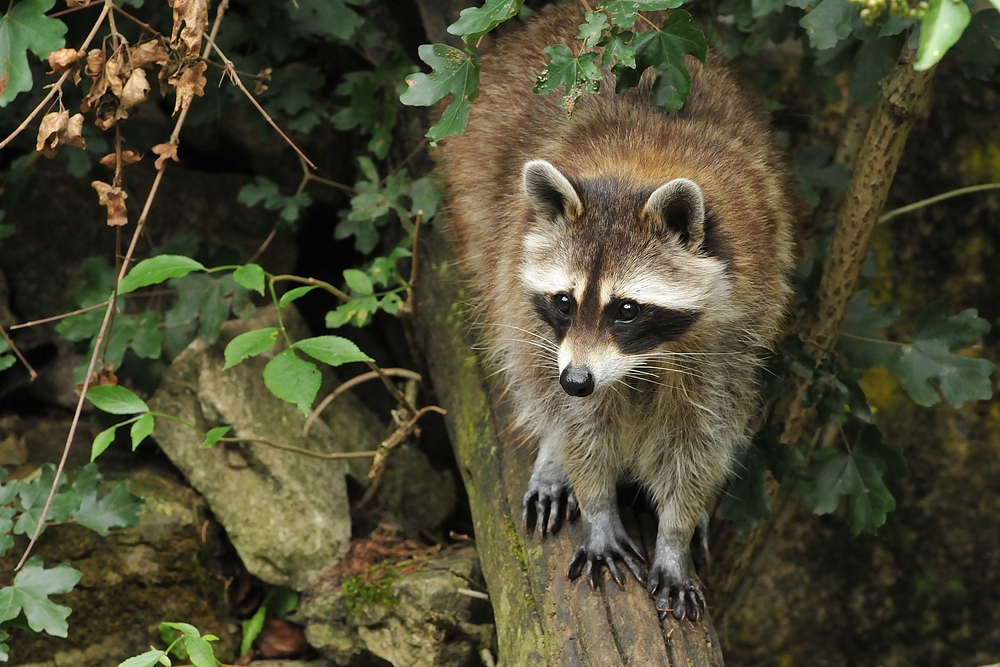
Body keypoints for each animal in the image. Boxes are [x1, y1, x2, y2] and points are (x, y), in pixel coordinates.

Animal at [442, 2, 792, 624]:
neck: (635, 174)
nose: (578, 379)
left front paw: (676, 531)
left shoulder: (732, 329)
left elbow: (699, 436)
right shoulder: (545, 316)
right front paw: (596, 500)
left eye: (626, 309)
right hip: (483, 201)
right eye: (564, 301)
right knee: (523, 356)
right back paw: (553, 447)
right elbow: (580, 422)